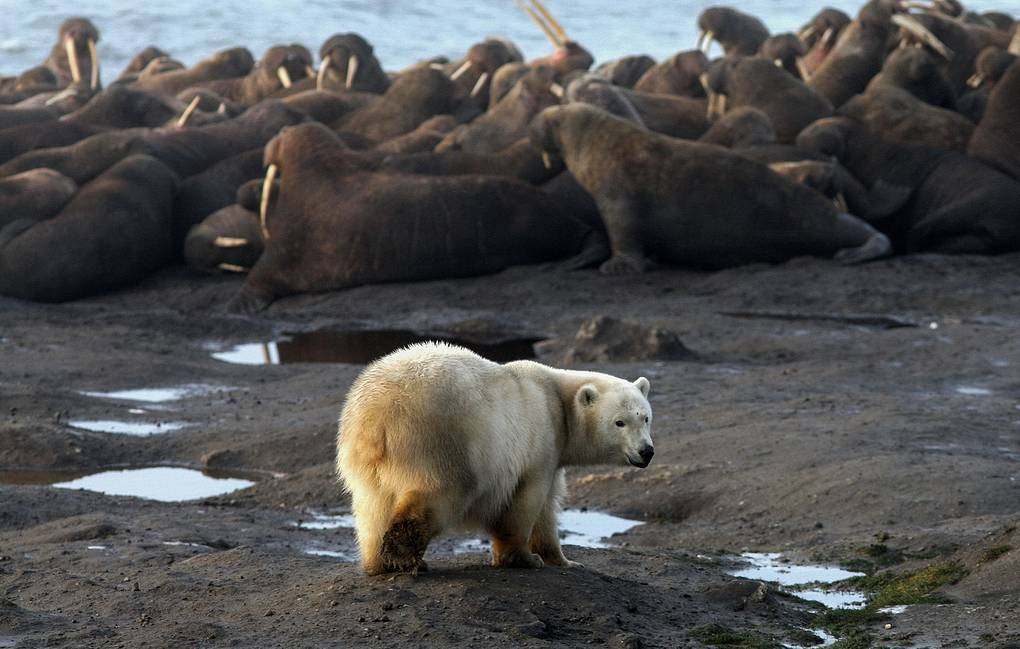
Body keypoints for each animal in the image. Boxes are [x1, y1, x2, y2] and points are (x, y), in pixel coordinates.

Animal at [334, 342, 652, 575]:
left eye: (646, 417)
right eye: (620, 422)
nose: (646, 451)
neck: (557, 401)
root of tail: (376, 418)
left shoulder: (552, 451)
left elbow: (548, 508)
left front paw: (563, 560)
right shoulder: (539, 440)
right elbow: (526, 502)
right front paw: (523, 558)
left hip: (362, 461)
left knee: (372, 507)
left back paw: (378, 562)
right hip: (439, 442)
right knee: (440, 494)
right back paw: (405, 557)